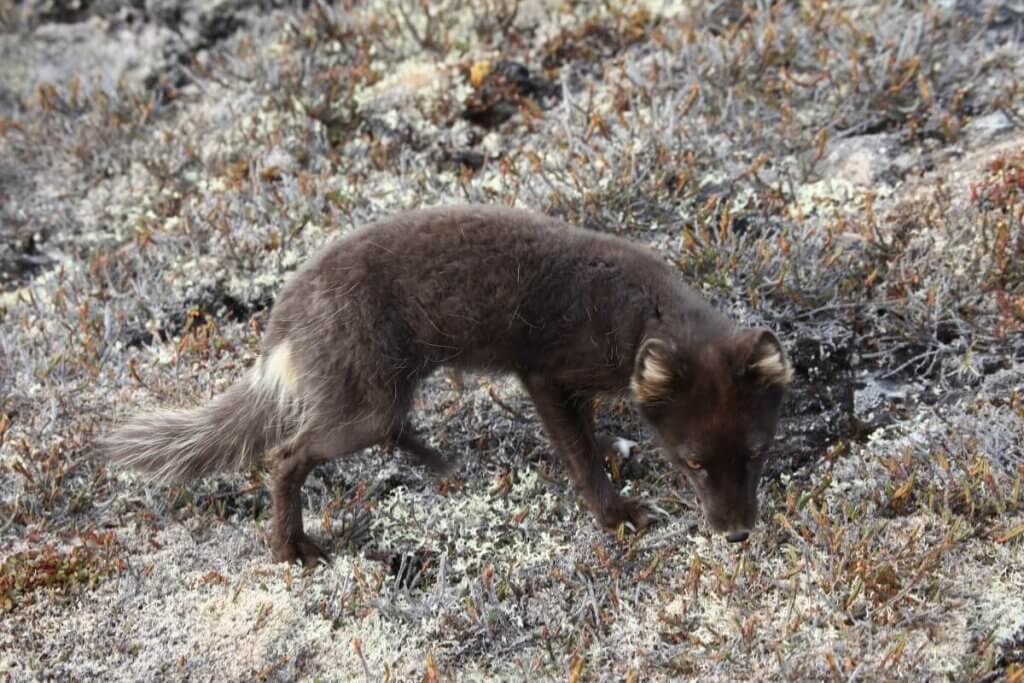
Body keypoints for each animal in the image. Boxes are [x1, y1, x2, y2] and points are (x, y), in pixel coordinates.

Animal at [101, 205, 790, 565]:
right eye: (692, 462)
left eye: (757, 453)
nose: (736, 534)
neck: (642, 309)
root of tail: (283, 319)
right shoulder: (546, 376)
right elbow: (580, 457)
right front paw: (616, 514)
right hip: (364, 404)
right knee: (286, 455)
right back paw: (291, 547)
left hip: (386, 391)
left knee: (394, 429)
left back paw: (443, 465)